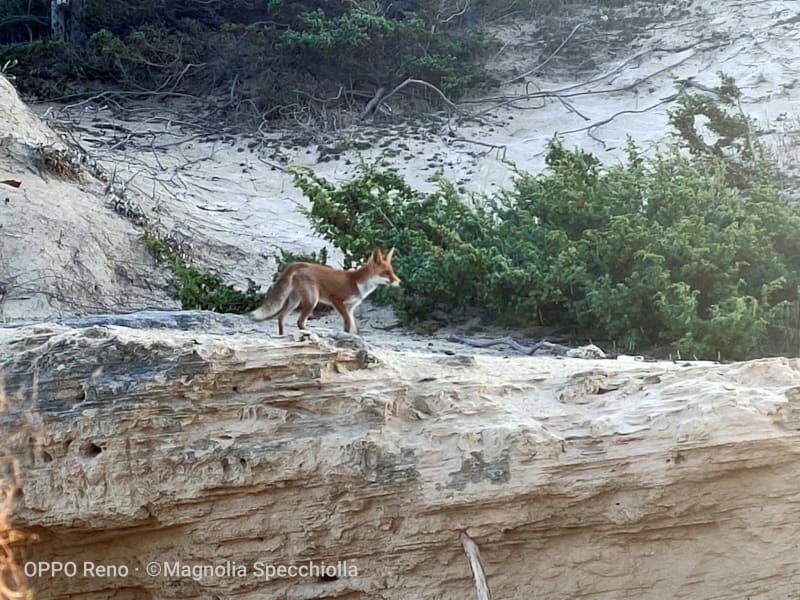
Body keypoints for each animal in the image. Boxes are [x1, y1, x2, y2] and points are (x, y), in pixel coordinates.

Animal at [250, 247, 400, 335]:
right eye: (386, 273)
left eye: (392, 272)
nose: (399, 281)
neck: (358, 284)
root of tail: (299, 264)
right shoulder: (336, 299)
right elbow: (347, 323)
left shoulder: (350, 308)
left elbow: (353, 328)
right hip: (312, 300)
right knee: (299, 322)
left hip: (295, 301)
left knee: (280, 317)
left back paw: (282, 336)